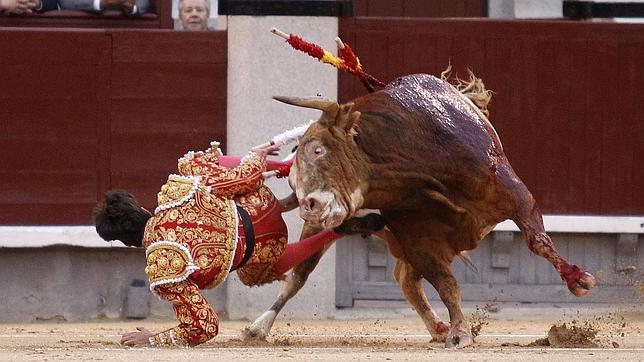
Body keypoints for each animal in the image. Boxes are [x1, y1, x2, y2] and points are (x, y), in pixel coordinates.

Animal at [243, 71, 600, 348]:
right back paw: (259, 327)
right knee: (303, 275)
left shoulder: (511, 191)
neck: (410, 164)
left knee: (405, 279)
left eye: (318, 150)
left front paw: (578, 279)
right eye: (292, 178)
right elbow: (445, 283)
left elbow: (537, 240)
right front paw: (459, 332)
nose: (308, 206)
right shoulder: (415, 235)